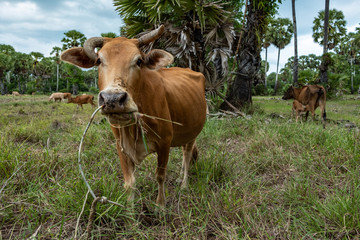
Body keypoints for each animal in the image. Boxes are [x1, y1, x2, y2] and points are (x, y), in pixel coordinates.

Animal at [60, 24, 207, 206]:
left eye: (138, 61)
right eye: (99, 60)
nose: (113, 99)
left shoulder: (165, 142)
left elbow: (160, 176)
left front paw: (160, 205)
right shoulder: (121, 146)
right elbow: (129, 183)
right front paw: (130, 210)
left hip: (193, 134)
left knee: (187, 157)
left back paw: (184, 184)